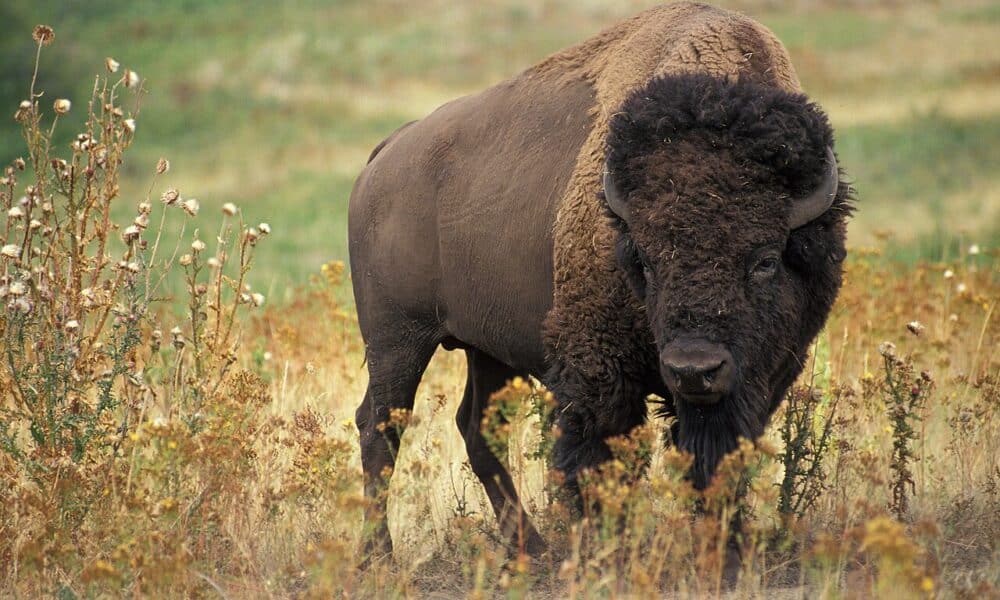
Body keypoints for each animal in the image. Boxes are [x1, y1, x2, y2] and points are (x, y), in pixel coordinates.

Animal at [348, 1, 852, 559]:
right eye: (646, 262)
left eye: (765, 260)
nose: (693, 369)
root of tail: (387, 153)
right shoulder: (599, 372)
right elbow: (598, 461)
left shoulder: (761, 377)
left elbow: (718, 461)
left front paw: (726, 550)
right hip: (397, 340)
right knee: (380, 426)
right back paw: (380, 556)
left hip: (487, 349)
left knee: (476, 427)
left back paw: (531, 550)